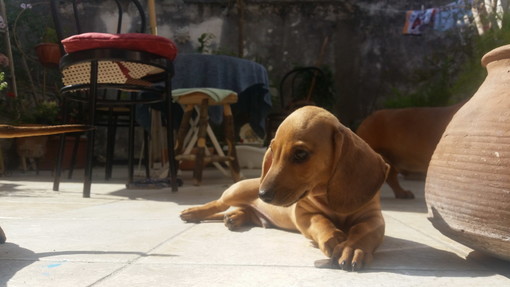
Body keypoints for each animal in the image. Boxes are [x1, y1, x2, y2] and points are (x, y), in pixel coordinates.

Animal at [181, 106, 388, 272]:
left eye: (301, 154)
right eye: (272, 151)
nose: (262, 194)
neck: (326, 195)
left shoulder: (374, 217)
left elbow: (364, 230)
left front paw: (352, 248)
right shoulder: (303, 213)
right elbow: (320, 220)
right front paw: (333, 236)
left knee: (243, 212)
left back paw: (234, 217)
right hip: (234, 192)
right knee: (217, 204)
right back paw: (193, 212)